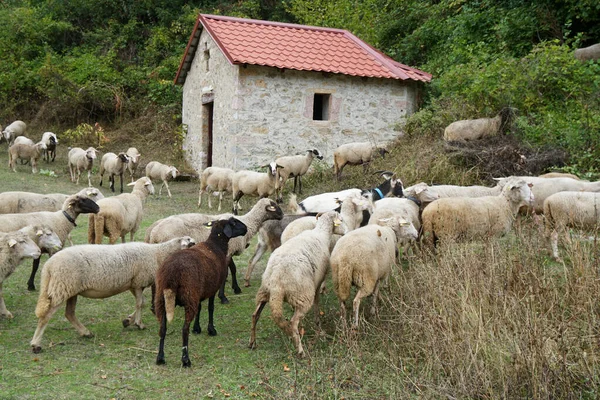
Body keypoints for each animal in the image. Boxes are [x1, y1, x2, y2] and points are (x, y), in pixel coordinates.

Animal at [29, 234, 195, 354]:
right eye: (190, 243)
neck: (158, 253)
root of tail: (48, 267)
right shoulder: (139, 281)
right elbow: (140, 303)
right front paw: (139, 323)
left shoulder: (132, 283)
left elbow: (140, 302)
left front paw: (128, 320)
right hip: (62, 287)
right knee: (46, 316)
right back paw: (36, 344)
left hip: (69, 289)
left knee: (69, 313)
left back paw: (86, 332)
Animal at [147, 197, 284, 304]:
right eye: (275, 206)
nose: (282, 215)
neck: (248, 222)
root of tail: (153, 232)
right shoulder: (227, 252)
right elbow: (226, 273)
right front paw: (223, 297)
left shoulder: (228, 250)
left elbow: (233, 269)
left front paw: (236, 288)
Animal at [157, 217, 248, 368]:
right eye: (234, 223)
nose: (246, 228)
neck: (215, 246)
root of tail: (172, 273)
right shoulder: (212, 288)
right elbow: (211, 308)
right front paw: (211, 329)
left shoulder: (199, 291)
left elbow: (200, 308)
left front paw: (197, 328)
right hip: (188, 296)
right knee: (184, 330)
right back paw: (186, 359)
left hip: (162, 299)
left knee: (162, 329)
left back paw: (160, 357)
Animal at [247, 211, 342, 358]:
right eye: (341, 220)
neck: (321, 233)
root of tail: (277, 283)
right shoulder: (317, 281)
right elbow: (317, 301)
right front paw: (318, 323)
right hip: (303, 294)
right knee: (293, 322)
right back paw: (300, 350)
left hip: (265, 292)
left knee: (254, 315)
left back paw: (252, 342)